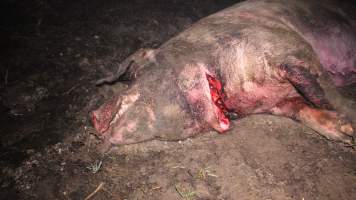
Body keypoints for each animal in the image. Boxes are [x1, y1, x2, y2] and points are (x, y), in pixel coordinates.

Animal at [91, 0, 356, 145]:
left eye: (136, 76)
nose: (93, 117)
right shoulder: (280, 103)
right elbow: (304, 109)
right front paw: (343, 133)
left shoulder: (291, 48)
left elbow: (325, 94)